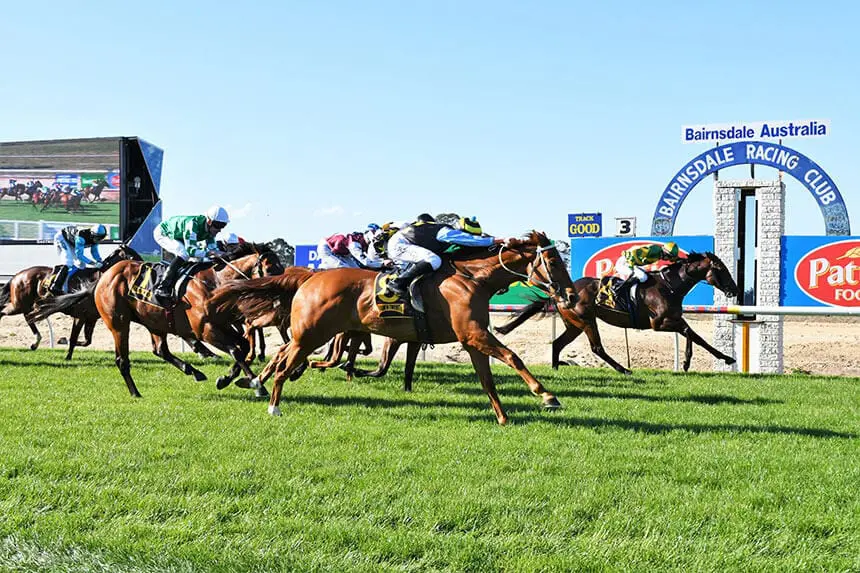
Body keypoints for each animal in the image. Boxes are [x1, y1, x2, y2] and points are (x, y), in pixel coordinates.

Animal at [258, 231, 576, 424]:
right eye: (552, 262)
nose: (571, 296)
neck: (474, 278)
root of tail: (310, 278)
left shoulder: (472, 339)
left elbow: (487, 379)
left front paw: (502, 417)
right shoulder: (475, 334)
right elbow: (513, 357)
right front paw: (546, 395)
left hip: (310, 334)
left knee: (283, 355)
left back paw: (261, 383)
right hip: (311, 335)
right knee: (285, 364)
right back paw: (273, 403)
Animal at [490, 250, 740, 370]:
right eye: (720, 269)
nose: (734, 288)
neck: (670, 285)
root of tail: (560, 293)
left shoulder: (674, 319)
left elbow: (694, 335)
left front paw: (713, 359)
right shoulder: (659, 323)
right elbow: (692, 334)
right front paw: (703, 360)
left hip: (574, 324)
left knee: (558, 344)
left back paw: (556, 367)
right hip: (587, 320)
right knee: (597, 348)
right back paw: (623, 369)